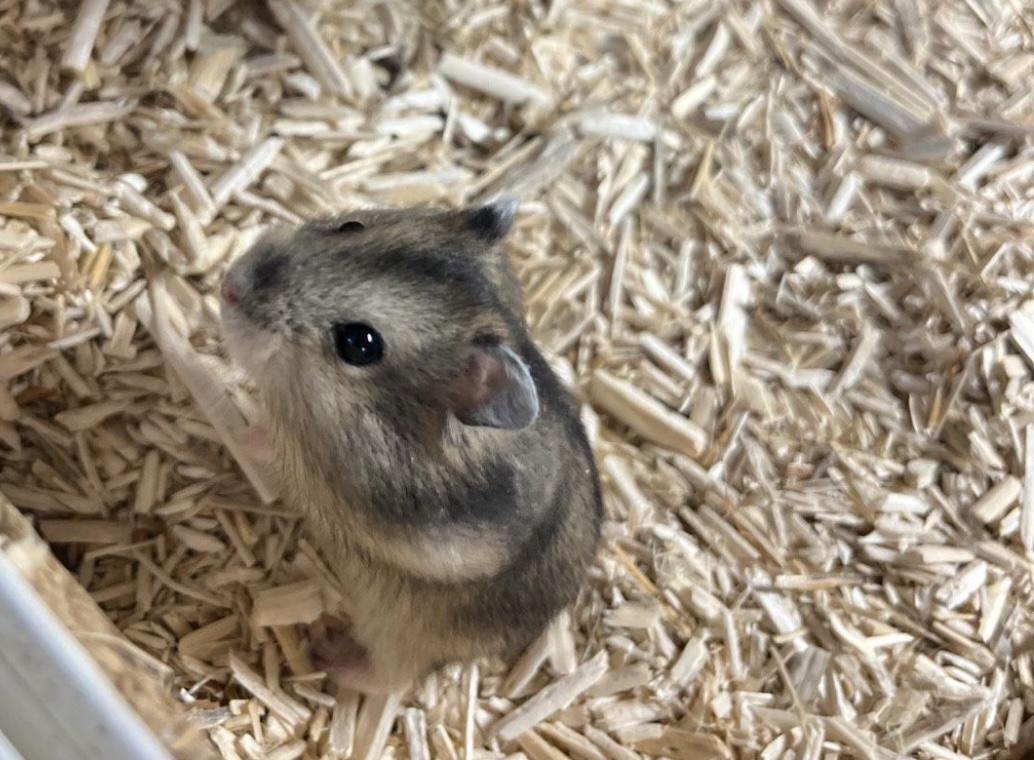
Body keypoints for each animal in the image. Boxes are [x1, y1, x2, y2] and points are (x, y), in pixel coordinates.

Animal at [219, 200, 603, 694]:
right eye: (350, 226)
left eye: (359, 344)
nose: (229, 287)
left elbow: (281, 449)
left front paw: (238, 426)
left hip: (408, 631)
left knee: (393, 677)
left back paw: (326, 653)